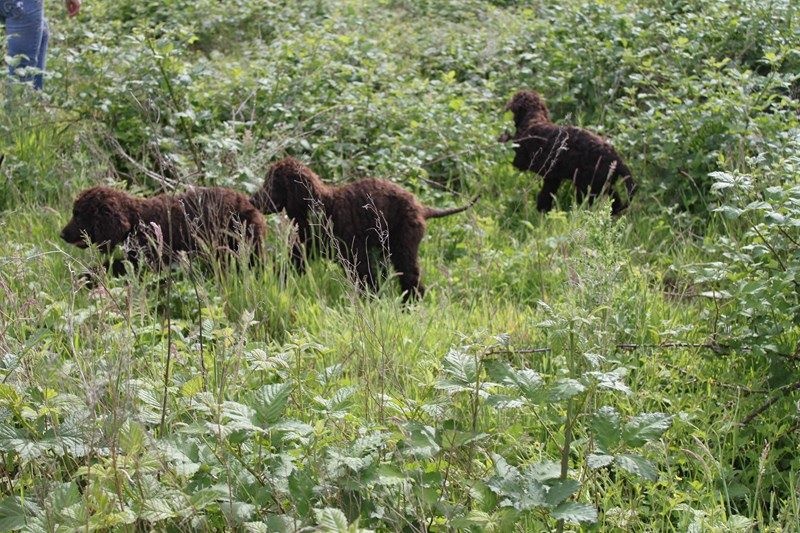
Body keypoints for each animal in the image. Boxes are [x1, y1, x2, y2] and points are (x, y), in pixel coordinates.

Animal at [61, 186, 266, 276]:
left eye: (78, 215)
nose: (61, 234)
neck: (137, 218)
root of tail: (249, 203)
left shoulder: (150, 259)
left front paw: (87, 277)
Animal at [252, 157, 476, 300]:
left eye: (272, 183)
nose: (252, 200)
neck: (321, 205)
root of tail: (421, 207)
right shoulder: (305, 247)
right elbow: (289, 265)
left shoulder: (356, 254)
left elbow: (366, 280)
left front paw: (370, 302)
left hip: (403, 246)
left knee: (411, 279)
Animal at [500, 90, 636, 215]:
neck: (533, 118)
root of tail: (617, 159)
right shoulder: (552, 177)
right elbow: (546, 196)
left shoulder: (522, 155)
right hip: (604, 184)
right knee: (615, 202)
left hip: (589, 186)